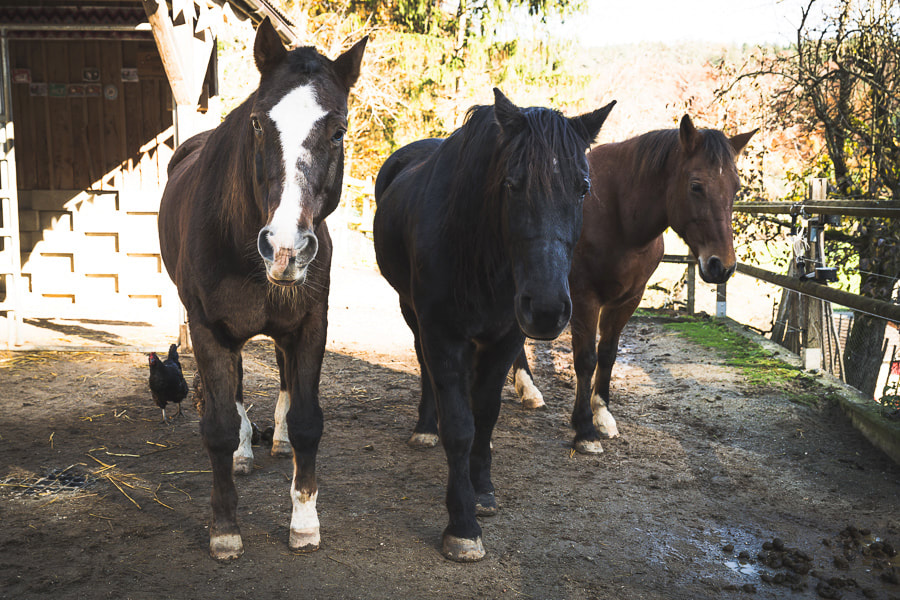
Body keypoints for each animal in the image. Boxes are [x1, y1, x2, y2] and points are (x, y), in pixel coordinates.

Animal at [157, 18, 366, 560]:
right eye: (256, 123)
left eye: (338, 130)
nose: (285, 248)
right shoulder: (209, 328)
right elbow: (219, 425)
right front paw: (225, 528)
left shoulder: (311, 323)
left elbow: (309, 418)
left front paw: (305, 522)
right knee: (232, 387)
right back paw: (245, 452)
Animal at [373, 88, 615, 561]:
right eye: (511, 184)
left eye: (583, 188)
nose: (546, 308)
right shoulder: (442, 334)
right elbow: (460, 426)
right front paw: (462, 525)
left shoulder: (506, 337)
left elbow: (484, 415)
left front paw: (481, 489)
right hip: (412, 311)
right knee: (425, 368)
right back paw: (425, 428)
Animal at [511, 115, 756, 454]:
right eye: (696, 186)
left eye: (735, 188)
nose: (723, 265)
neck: (617, 214)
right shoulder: (583, 298)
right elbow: (585, 359)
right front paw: (584, 429)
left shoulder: (628, 299)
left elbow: (608, 354)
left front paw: (603, 416)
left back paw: (528, 389)